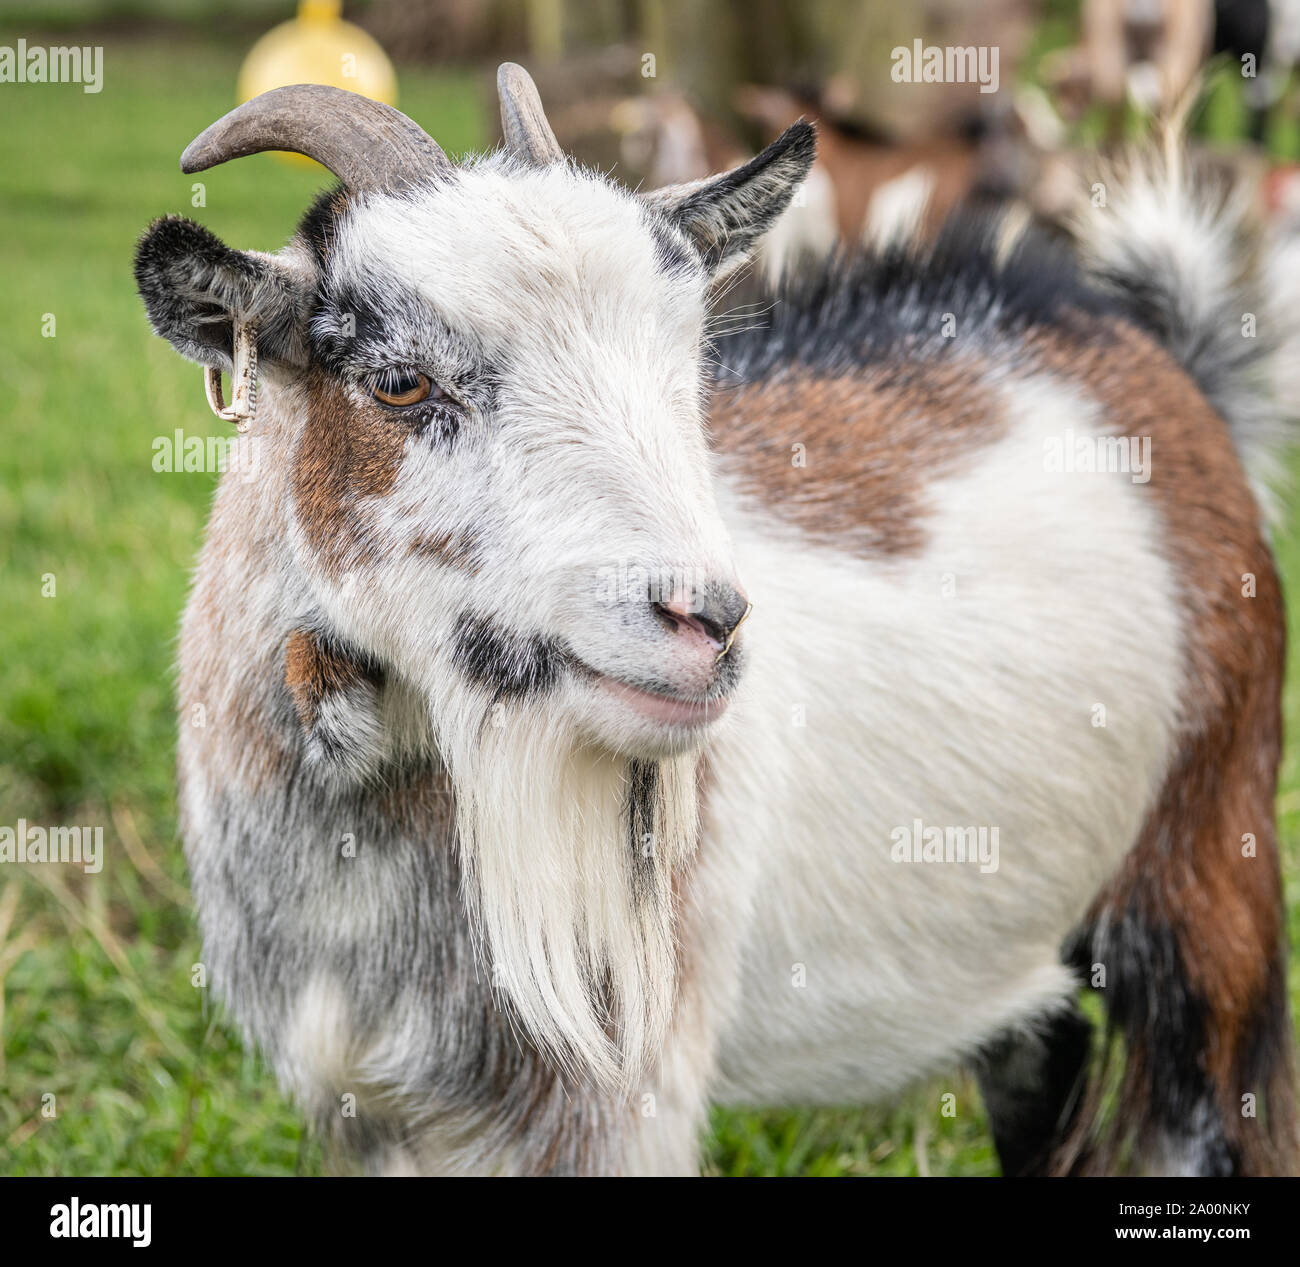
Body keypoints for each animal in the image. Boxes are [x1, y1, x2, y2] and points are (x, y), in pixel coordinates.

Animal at [134, 65, 1297, 1176]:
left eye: (686, 363)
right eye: (399, 382)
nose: (712, 621)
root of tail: (1164, 356)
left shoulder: (609, 1103)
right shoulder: (370, 1106)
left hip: (1211, 861)